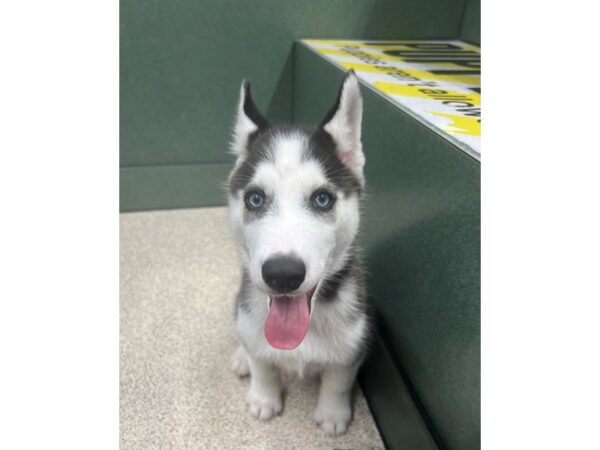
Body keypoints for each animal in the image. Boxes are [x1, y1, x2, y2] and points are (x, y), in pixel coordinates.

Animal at [229, 71, 372, 436]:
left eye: (322, 199)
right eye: (255, 199)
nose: (282, 274)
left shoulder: (354, 339)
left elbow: (338, 379)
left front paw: (333, 413)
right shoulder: (252, 321)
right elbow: (262, 362)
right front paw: (263, 398)